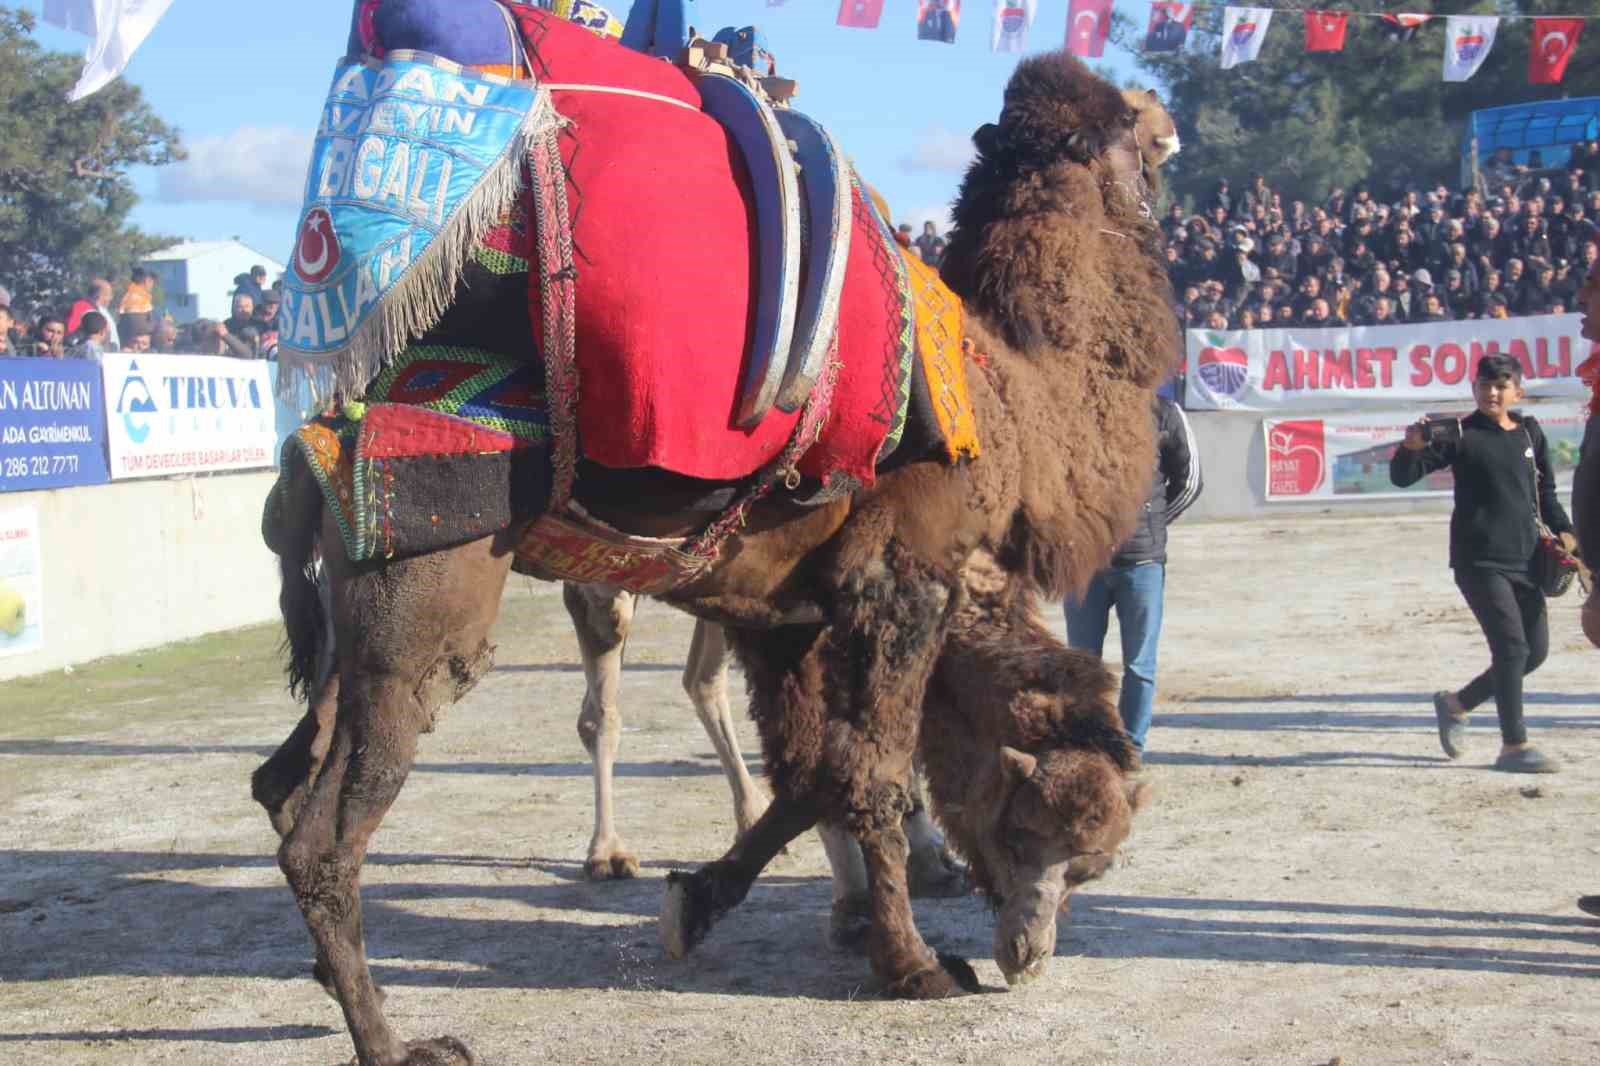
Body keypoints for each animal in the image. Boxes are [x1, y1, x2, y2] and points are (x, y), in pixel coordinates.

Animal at [252, 16, 1177, 1056]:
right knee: (324, 832)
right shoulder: (903, 581)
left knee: (280, 780)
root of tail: (310, 449)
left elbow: (814, 774)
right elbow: (875, 773)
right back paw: (395, 1040)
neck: (1010, 391)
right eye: (1033, 835)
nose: (1029, 954)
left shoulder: (786, 613)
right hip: (425, 595)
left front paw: (698, 901)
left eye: (1089, 863)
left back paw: (330, 978)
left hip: (350, 622)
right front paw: (915, 966)